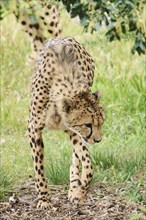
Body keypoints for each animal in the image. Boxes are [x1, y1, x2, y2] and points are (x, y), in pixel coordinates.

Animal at [27, 37, 105, 209]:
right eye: (88, 125)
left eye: (101, 123)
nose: (98, 140)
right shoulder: (33, 128)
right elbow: (38, 166)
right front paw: (44, 198)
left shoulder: (75, 132)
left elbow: (87, 164)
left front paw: (81, 191)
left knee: (76, 158)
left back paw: (74, 187)